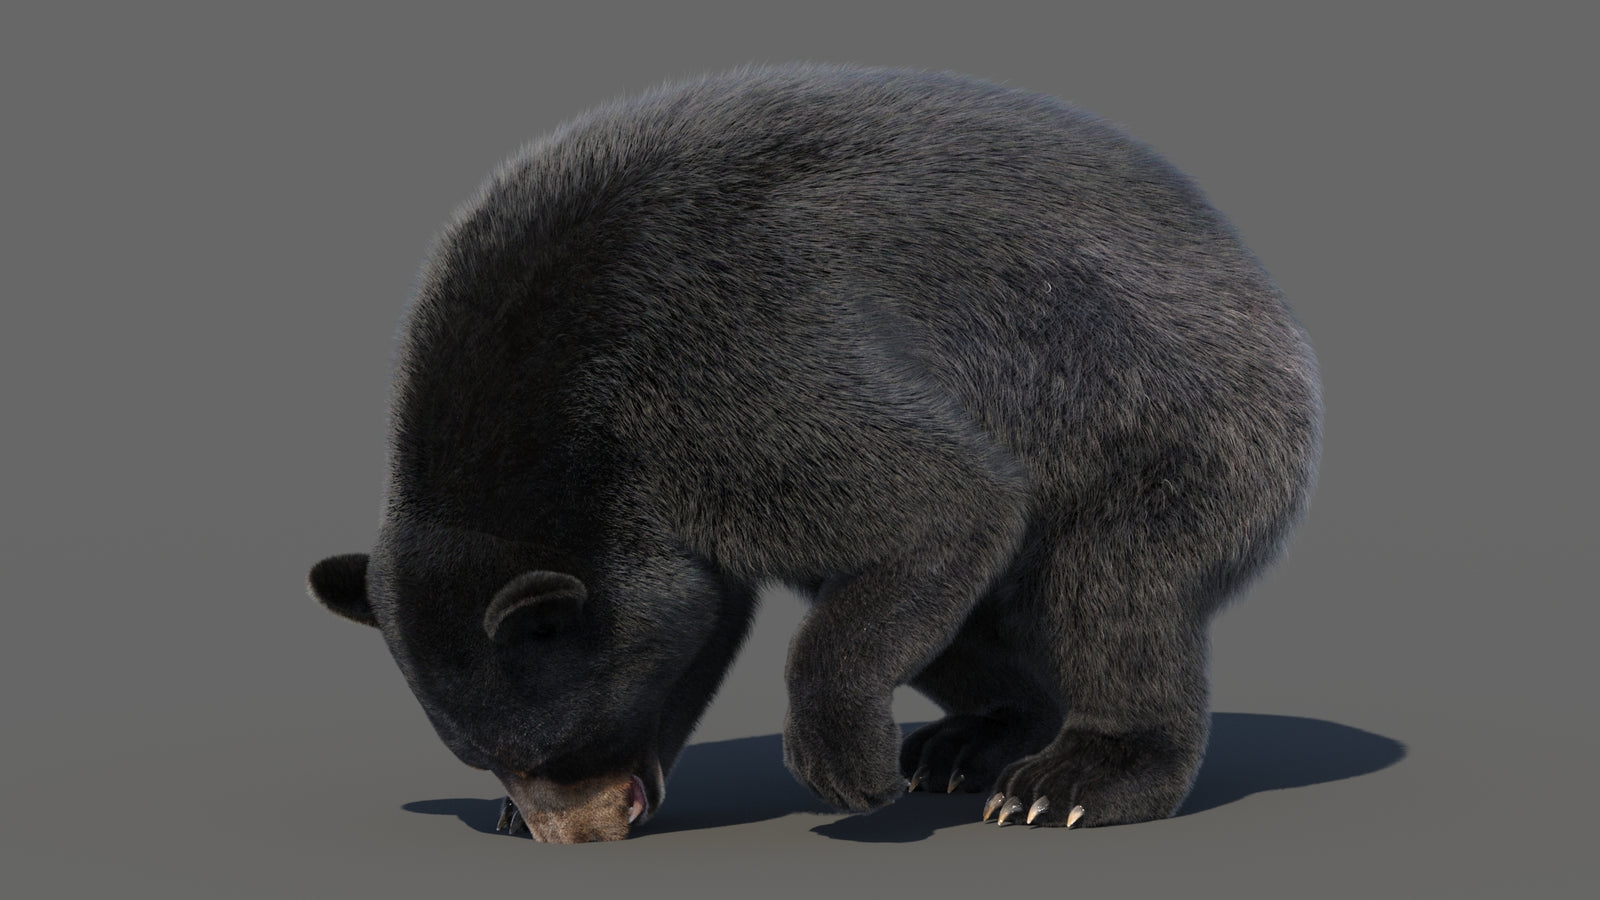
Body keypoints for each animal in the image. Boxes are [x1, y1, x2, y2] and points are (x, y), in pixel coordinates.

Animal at [307, 63, 1321, 843]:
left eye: (555, 743)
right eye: (485, 754)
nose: (577, 833)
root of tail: (1256, 277)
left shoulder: (725, 372)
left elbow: (946, 501)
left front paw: (846, 768)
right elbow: (723, 604)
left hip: (1169, 419)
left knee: (1117, 591)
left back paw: (1069, 780)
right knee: (966, 619)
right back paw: (971, 738)